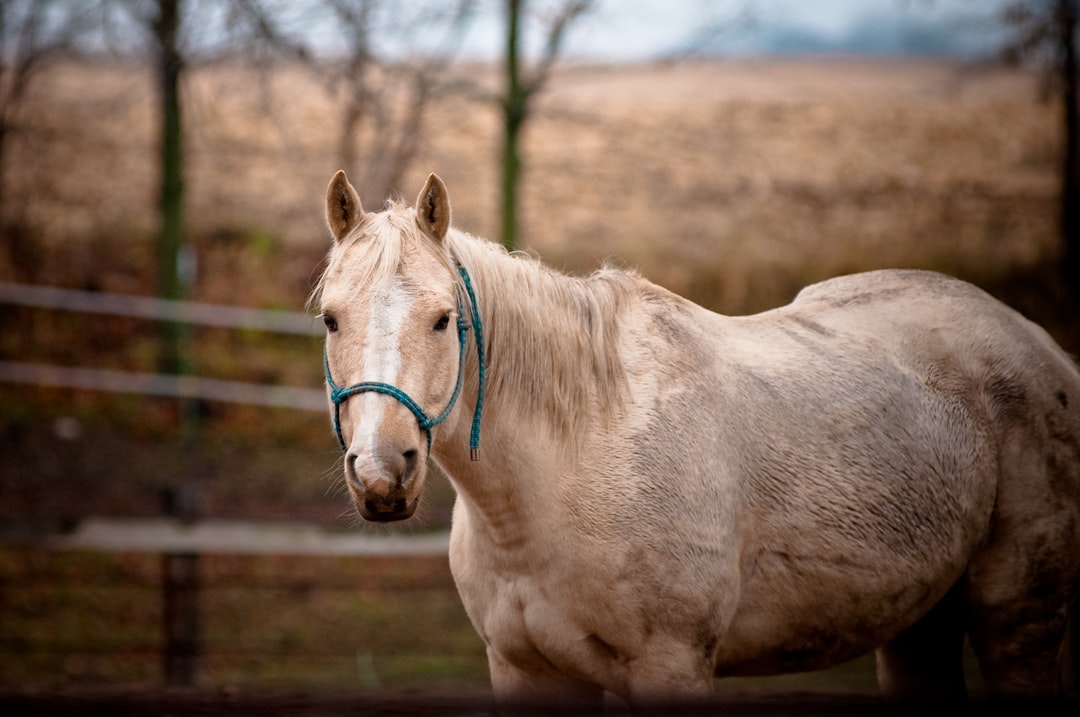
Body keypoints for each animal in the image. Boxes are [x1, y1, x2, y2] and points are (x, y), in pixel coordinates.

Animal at [313, 172, 1080, 704]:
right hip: (918, 622)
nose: (383, 471)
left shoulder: (672, 662)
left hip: (1018, 617)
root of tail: (1043, 347)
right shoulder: (525, 670)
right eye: (330, 319)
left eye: (444, 319)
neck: (569, 467)